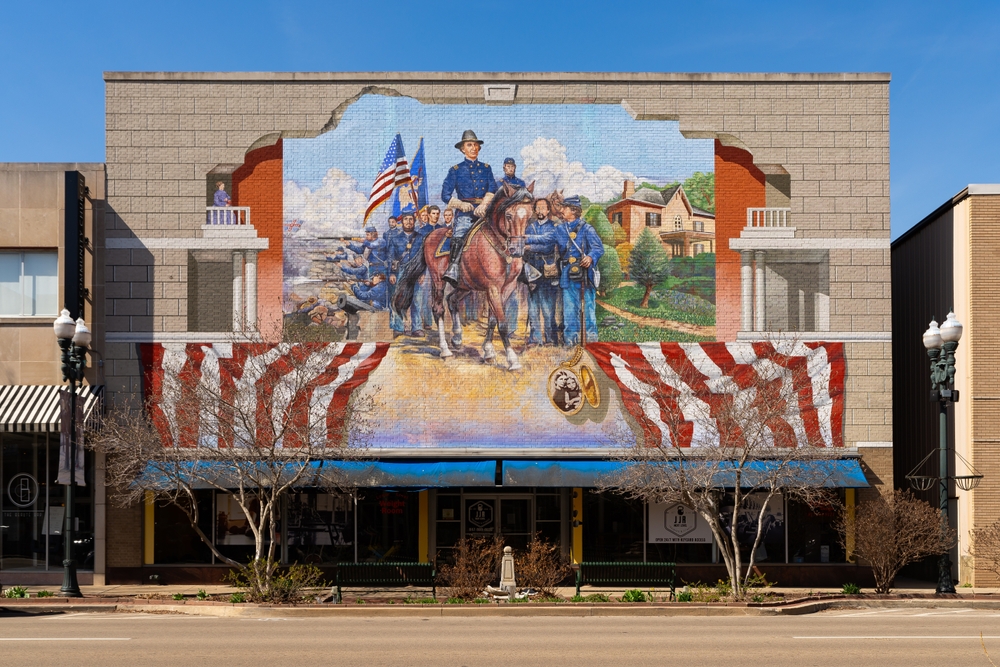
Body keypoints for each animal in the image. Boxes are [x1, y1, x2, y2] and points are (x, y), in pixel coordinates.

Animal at [390, 183, 536, 370]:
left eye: (529, 216)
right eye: (509, 215)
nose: (517, 249)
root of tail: (428, 236)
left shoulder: (507, 288)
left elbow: (493, 320)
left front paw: (488, 351)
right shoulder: (493, 288)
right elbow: (502, 323)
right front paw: (512, 360)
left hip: (465, 285)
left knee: (452, 300)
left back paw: (457, 338)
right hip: (438, 281)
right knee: (438, 309)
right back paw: (445, 350)